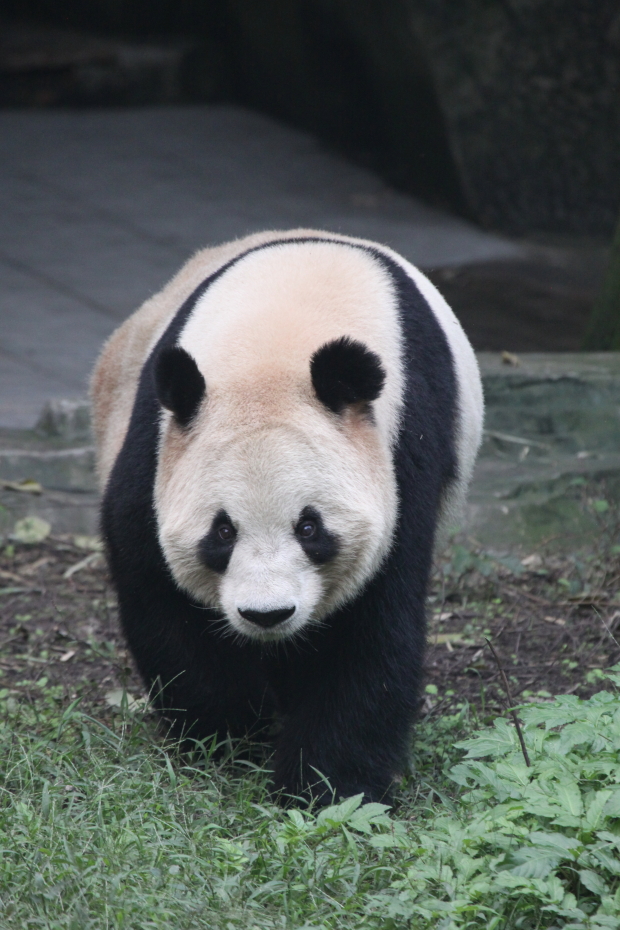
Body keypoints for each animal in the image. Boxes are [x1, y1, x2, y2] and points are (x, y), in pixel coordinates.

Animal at [91, 228, 484, 800]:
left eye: (309, 528)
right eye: (222, 532)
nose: (267, 614)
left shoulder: (406, 445)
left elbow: (372, 620)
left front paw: (327, 783)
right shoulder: (159, 439)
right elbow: (155, 580)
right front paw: (226, 732)